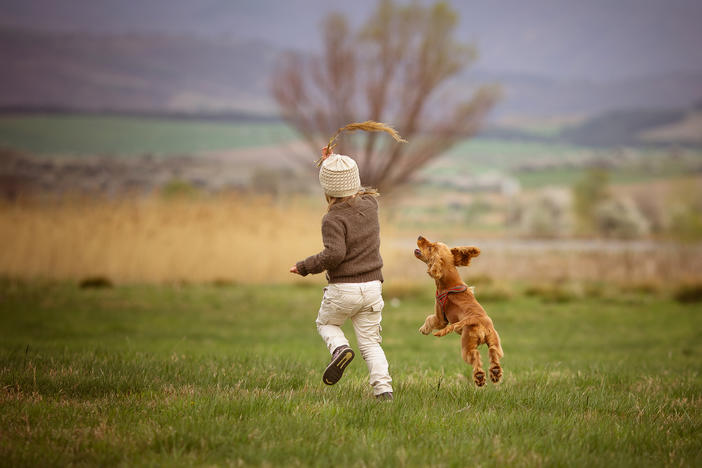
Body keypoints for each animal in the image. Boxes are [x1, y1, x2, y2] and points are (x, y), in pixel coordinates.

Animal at [416, 236, 504, 386]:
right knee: (493, 352)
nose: (420, 236)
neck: (450, 281)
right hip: (494, 340)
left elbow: (430, 318)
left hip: (467, 345)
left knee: (475, 356)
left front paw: (423, 329)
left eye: (430, 247)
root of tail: (477, 319)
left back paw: (479, 377)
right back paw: (495, 373)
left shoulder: (441, 319)